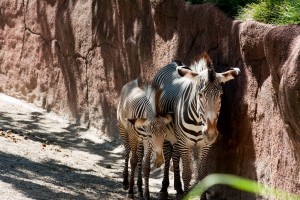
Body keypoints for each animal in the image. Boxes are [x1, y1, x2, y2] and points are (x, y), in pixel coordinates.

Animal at [151, 52, 240, 198]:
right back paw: (164, 189)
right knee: (168, 155)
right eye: (200, 95)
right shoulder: (185, 143)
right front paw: (185, 195)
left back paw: (178, 188)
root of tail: (173, 63)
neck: (199, 123)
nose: (210, 134)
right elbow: (187, 174)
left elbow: (202, 175)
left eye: (221, 95)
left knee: (176, 156)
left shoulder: (205, 145)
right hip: (166, 131)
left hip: (177, 137)